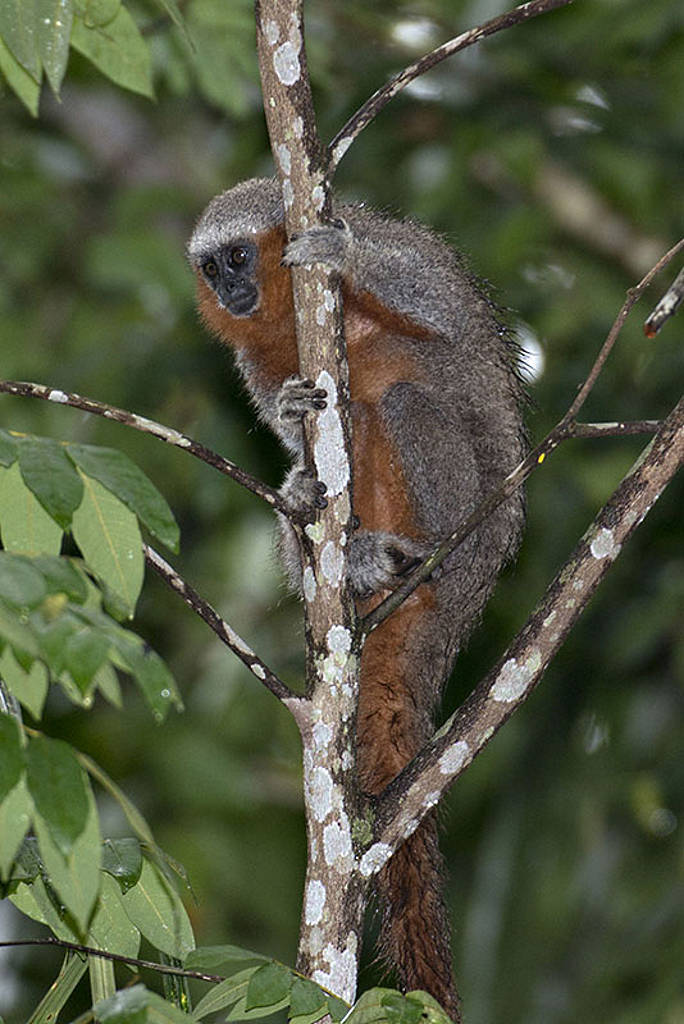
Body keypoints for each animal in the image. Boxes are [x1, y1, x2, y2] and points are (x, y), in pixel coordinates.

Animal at [185, 180, 524, 1019]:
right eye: (210, 269)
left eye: (236, 257)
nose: (227, 291)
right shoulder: (252, 359)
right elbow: (286, 424)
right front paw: (295, 444)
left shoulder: (410, 253)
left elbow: (437, 311)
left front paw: (336, 251)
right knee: (336, 445)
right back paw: (334, 540)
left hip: (474, 535)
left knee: (403, 401)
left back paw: (418, 557)